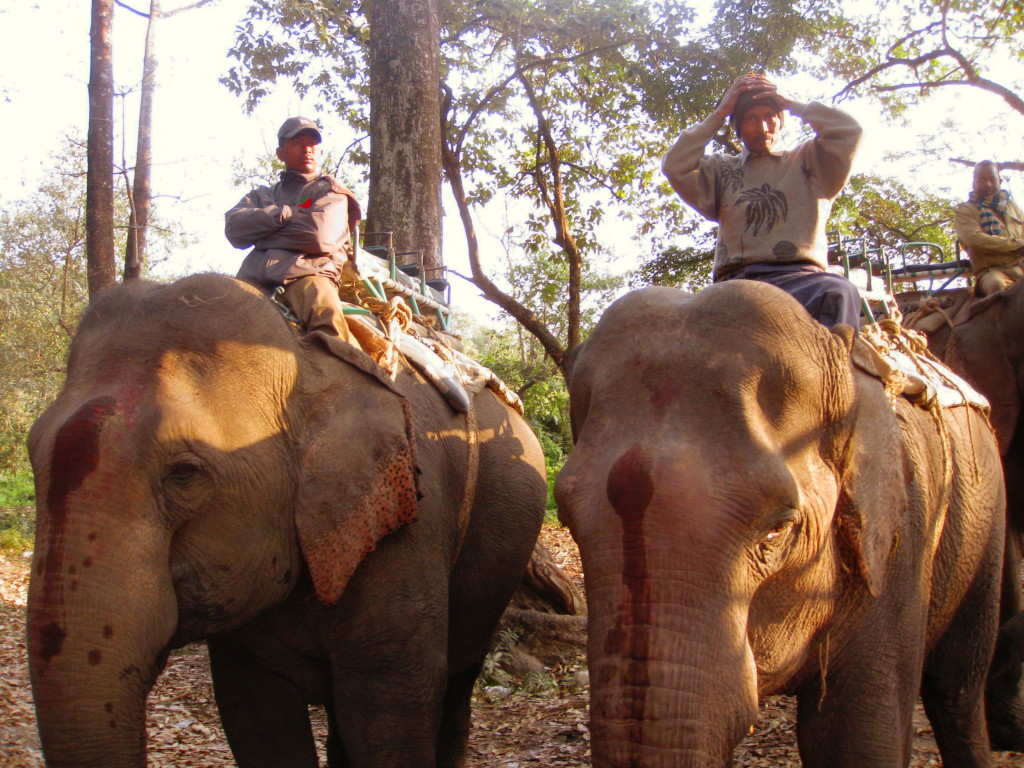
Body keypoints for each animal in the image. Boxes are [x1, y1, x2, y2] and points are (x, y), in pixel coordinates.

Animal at [28, 274, 548, 765]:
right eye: (33, 453)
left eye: (184, 473)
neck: (302, 362)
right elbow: (257, 719)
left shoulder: (411, 517)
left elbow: (387, 715)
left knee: (459, 682)